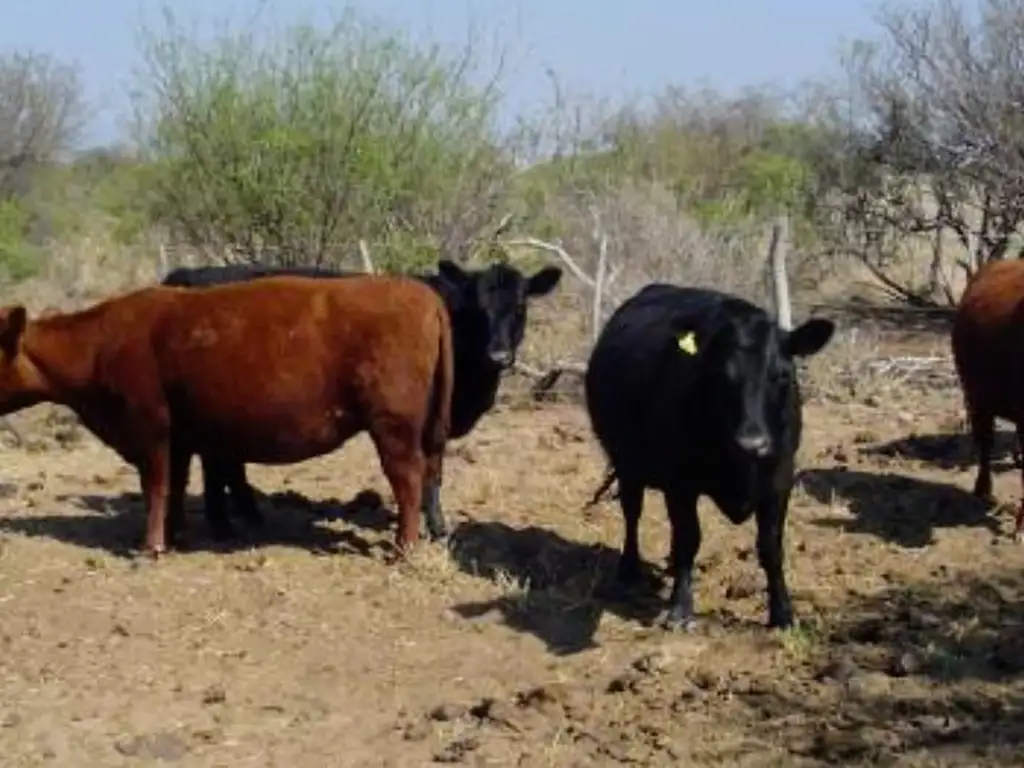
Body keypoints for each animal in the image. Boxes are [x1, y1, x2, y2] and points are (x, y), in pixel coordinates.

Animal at [0, 276, 454, 561]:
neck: (98, 347)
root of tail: (420, 292)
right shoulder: (181, 437)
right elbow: (176, 487)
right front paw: (175, 535)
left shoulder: (150, 429)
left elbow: (156, 487)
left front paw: (152, 546)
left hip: (393, 425)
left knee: (408, 479)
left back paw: (403, 548)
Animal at [160, 260, 565, 540]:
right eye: (478, 307)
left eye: (520, 308)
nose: (499, 356)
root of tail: (191, 274)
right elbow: (430, 472)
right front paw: (435, 526)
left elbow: (433, 470)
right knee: (218, 462)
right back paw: (227, 522)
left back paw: (243, 515)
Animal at [585, 282, 831, 630]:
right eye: (720, 376)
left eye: (782, 375)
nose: (753, 442)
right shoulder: (679, 482)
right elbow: (689, 537)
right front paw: (680, 607)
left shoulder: (780, 478)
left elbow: (770, 547)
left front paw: (783, 613)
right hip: (625, 462)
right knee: (632, 513)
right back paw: (629, 571)